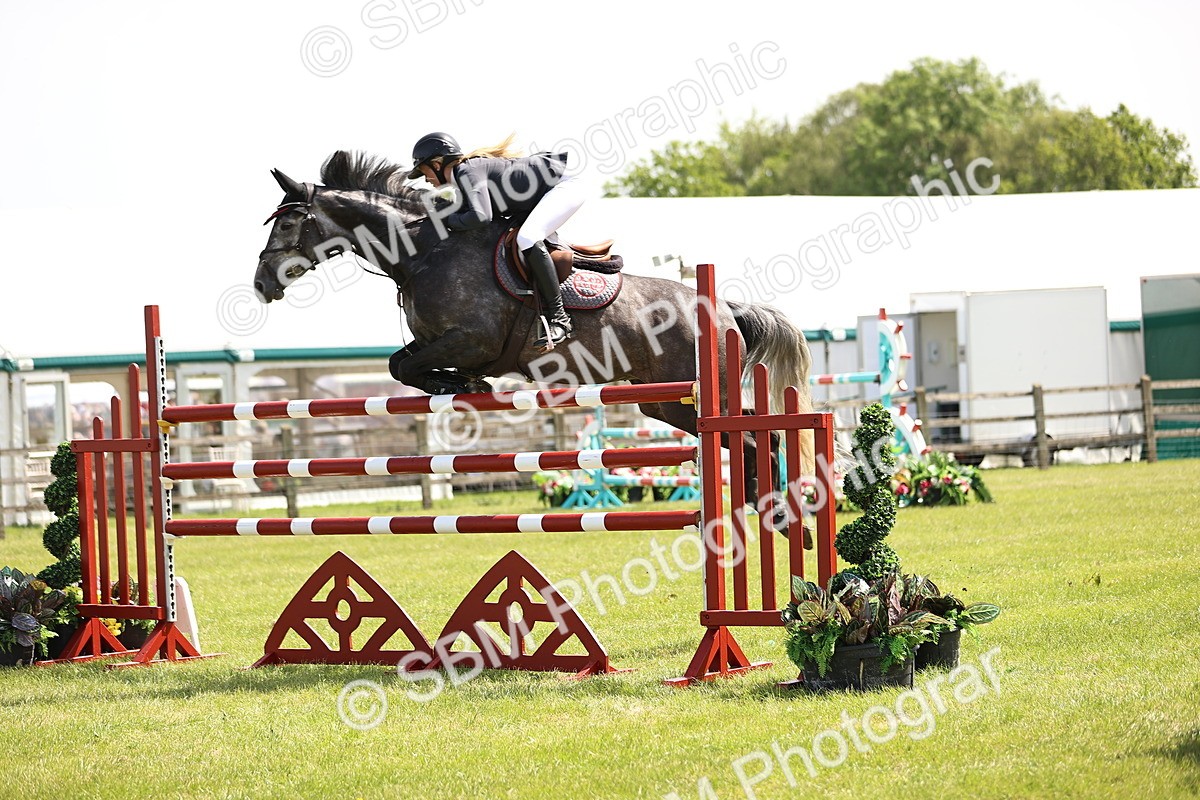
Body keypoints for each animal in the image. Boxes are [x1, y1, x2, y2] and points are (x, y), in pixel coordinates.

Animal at [253, 151, 815, 532]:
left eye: (290, 220)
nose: (262, 284)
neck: (421, 251)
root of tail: (724, 308)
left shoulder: (472, 340)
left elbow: (407, 368)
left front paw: (465, 384)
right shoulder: (437, 342)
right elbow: (400, 363)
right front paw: (459, 385)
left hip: (694, 392)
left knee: (749, 437)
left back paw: (769, 517)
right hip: (664, 402)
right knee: (748, 434)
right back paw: (765, 515)